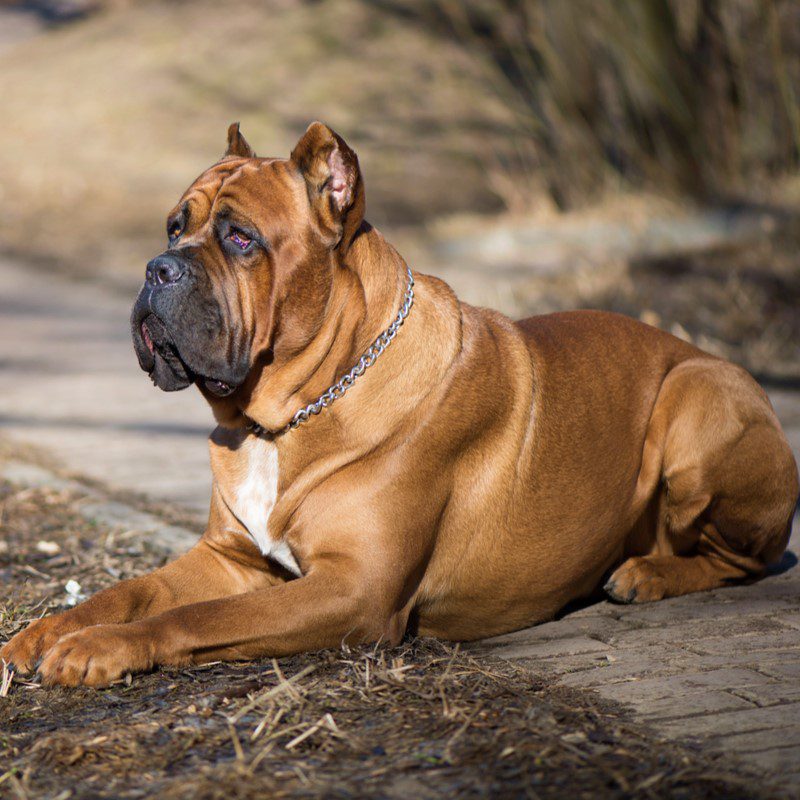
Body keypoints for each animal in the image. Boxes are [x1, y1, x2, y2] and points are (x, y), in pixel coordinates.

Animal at [3, 122, 796, 684]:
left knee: (745, 560)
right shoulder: (227, 556)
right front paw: (47, 630)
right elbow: (130, 591)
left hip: (695, 398)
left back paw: (645, 573)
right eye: (174, 226)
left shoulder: (353, 589)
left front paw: (101, 648)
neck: (287, 416)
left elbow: (200, 619)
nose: (156, 268)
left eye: (240, 238)